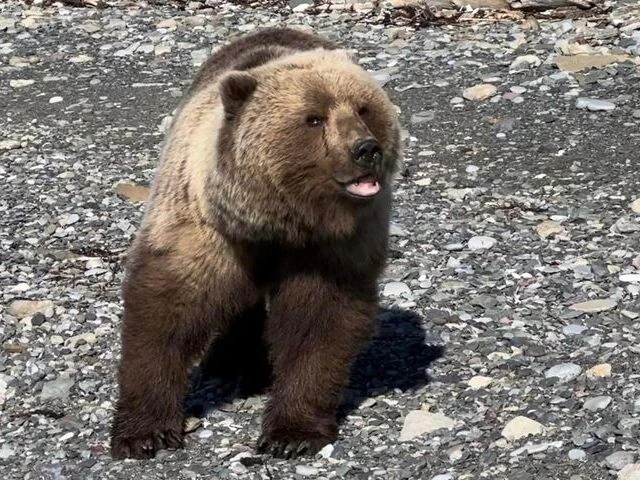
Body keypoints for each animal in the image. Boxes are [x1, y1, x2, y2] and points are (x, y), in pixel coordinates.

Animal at [110, 27, 402, 460]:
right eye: (313, 118)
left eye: (364, 109)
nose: (366, 149)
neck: (279, 220)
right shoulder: (207, 229)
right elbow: (165, 312)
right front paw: (145, 433)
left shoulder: (332, 247)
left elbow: (318, 323)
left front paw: (292, 433)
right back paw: (233, 359)